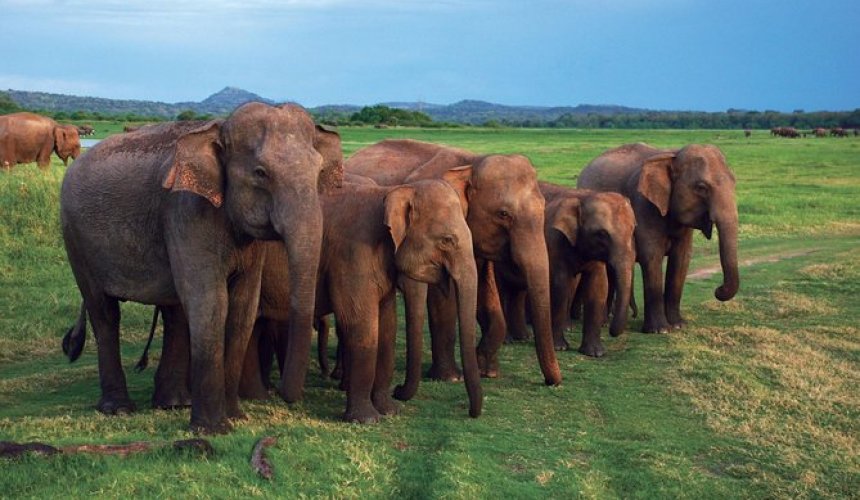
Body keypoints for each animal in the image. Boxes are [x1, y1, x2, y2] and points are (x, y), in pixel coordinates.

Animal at [59, 102, 343, 434]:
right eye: (261, 173)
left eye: (318, 171)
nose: (285, 396)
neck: (218, 128)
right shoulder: (186, 210)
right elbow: (211, 303)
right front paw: (213, 429)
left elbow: (243, 309)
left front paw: (236, 418)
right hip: (75, 239)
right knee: (104, 312)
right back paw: (118, 409)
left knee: (174, 312)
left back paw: (172, 403)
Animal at [237, 177, 481, 423]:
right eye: (447, 240)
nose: (398, 390)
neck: (390, 192)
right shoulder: (352, 254)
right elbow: (359, 325)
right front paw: (367, 419)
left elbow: (388, 327)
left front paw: (389, 410)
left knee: (251, 326)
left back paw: (257, 397)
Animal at [346, 139, 562, 392]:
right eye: (503, 214)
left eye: (544, 206)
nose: (551, 382)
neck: (472, 163)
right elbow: (443, 297)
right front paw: (451, 378)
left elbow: (485, 289)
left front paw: (486, 370)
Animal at [495, 183, 636, 357]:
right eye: (602, 234)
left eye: (633, 229)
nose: (611, 331)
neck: (584, 197)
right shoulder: (554, 240)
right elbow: (560, 286)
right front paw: (560, 348)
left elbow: (597, 287)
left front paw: (595, 353)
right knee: (501, 289)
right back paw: (507, 340)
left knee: (518, 292)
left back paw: (522, 337)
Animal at [577, 143, 739, 334]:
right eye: (701, 187)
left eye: (734, 182)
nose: (718, 290)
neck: (673, 155)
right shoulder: (643, 204)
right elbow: (652, 256)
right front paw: (660, 330)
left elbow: (681, 259)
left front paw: (678, 325)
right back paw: (602, 322)